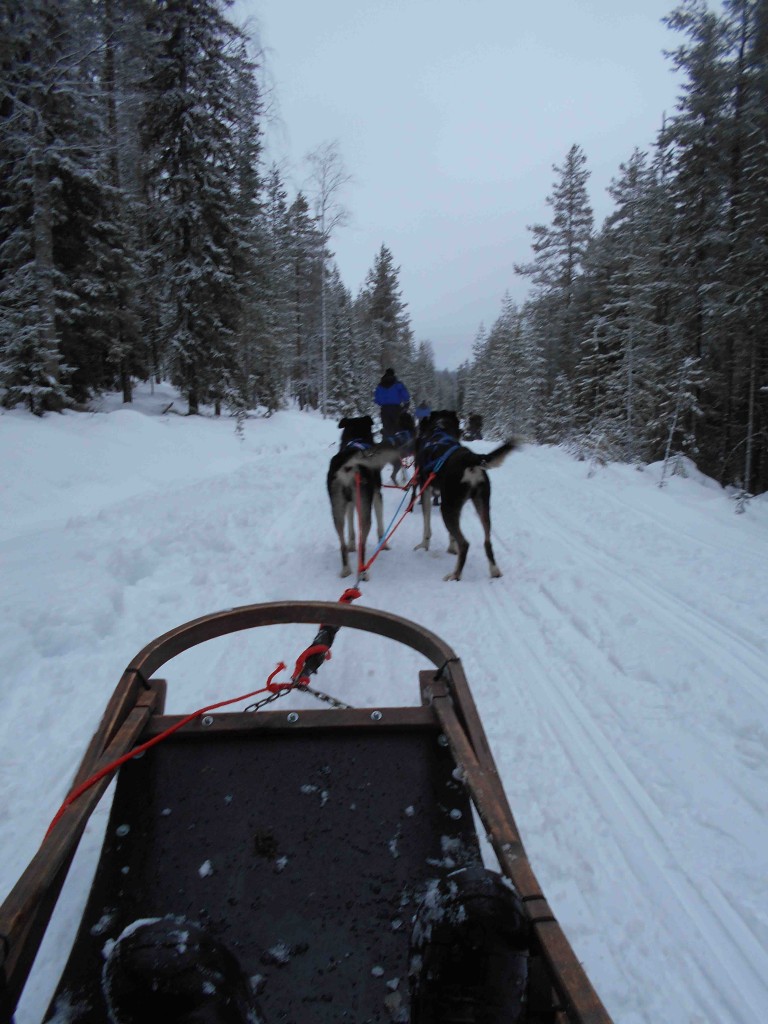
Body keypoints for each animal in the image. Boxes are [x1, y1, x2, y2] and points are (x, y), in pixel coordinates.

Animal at [329, 413, 399, 577]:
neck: (356, 438)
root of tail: (349, 465)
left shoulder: (350, 503)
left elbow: (350, 528)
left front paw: (351, 545)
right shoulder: (377, 494)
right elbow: (381, 524)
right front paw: (384, 544)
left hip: (337, 509)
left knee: (342, 543)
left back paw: (346, 569)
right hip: (366, 510)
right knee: (363, 543)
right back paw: (362, 572)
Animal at [411, 409, 520, 585]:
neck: (439, 430)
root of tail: (471, 459)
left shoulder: (426, 490)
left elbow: (427, 524)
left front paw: (423, 545)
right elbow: (452, 535)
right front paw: (451, 548)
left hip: (447, 508)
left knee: (465, 544)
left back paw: (455, 574)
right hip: (482, 506)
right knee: (487, 542)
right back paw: (494, 571)